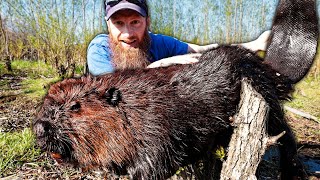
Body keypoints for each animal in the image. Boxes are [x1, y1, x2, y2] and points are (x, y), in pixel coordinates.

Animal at [32, 0, 318, 179]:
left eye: (75, 106)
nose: (40, 128)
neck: (133, 105)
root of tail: (276, 70)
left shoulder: (156, 126)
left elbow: (156, 161)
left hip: (263, 94)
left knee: (284, 133)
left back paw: (294, 171)